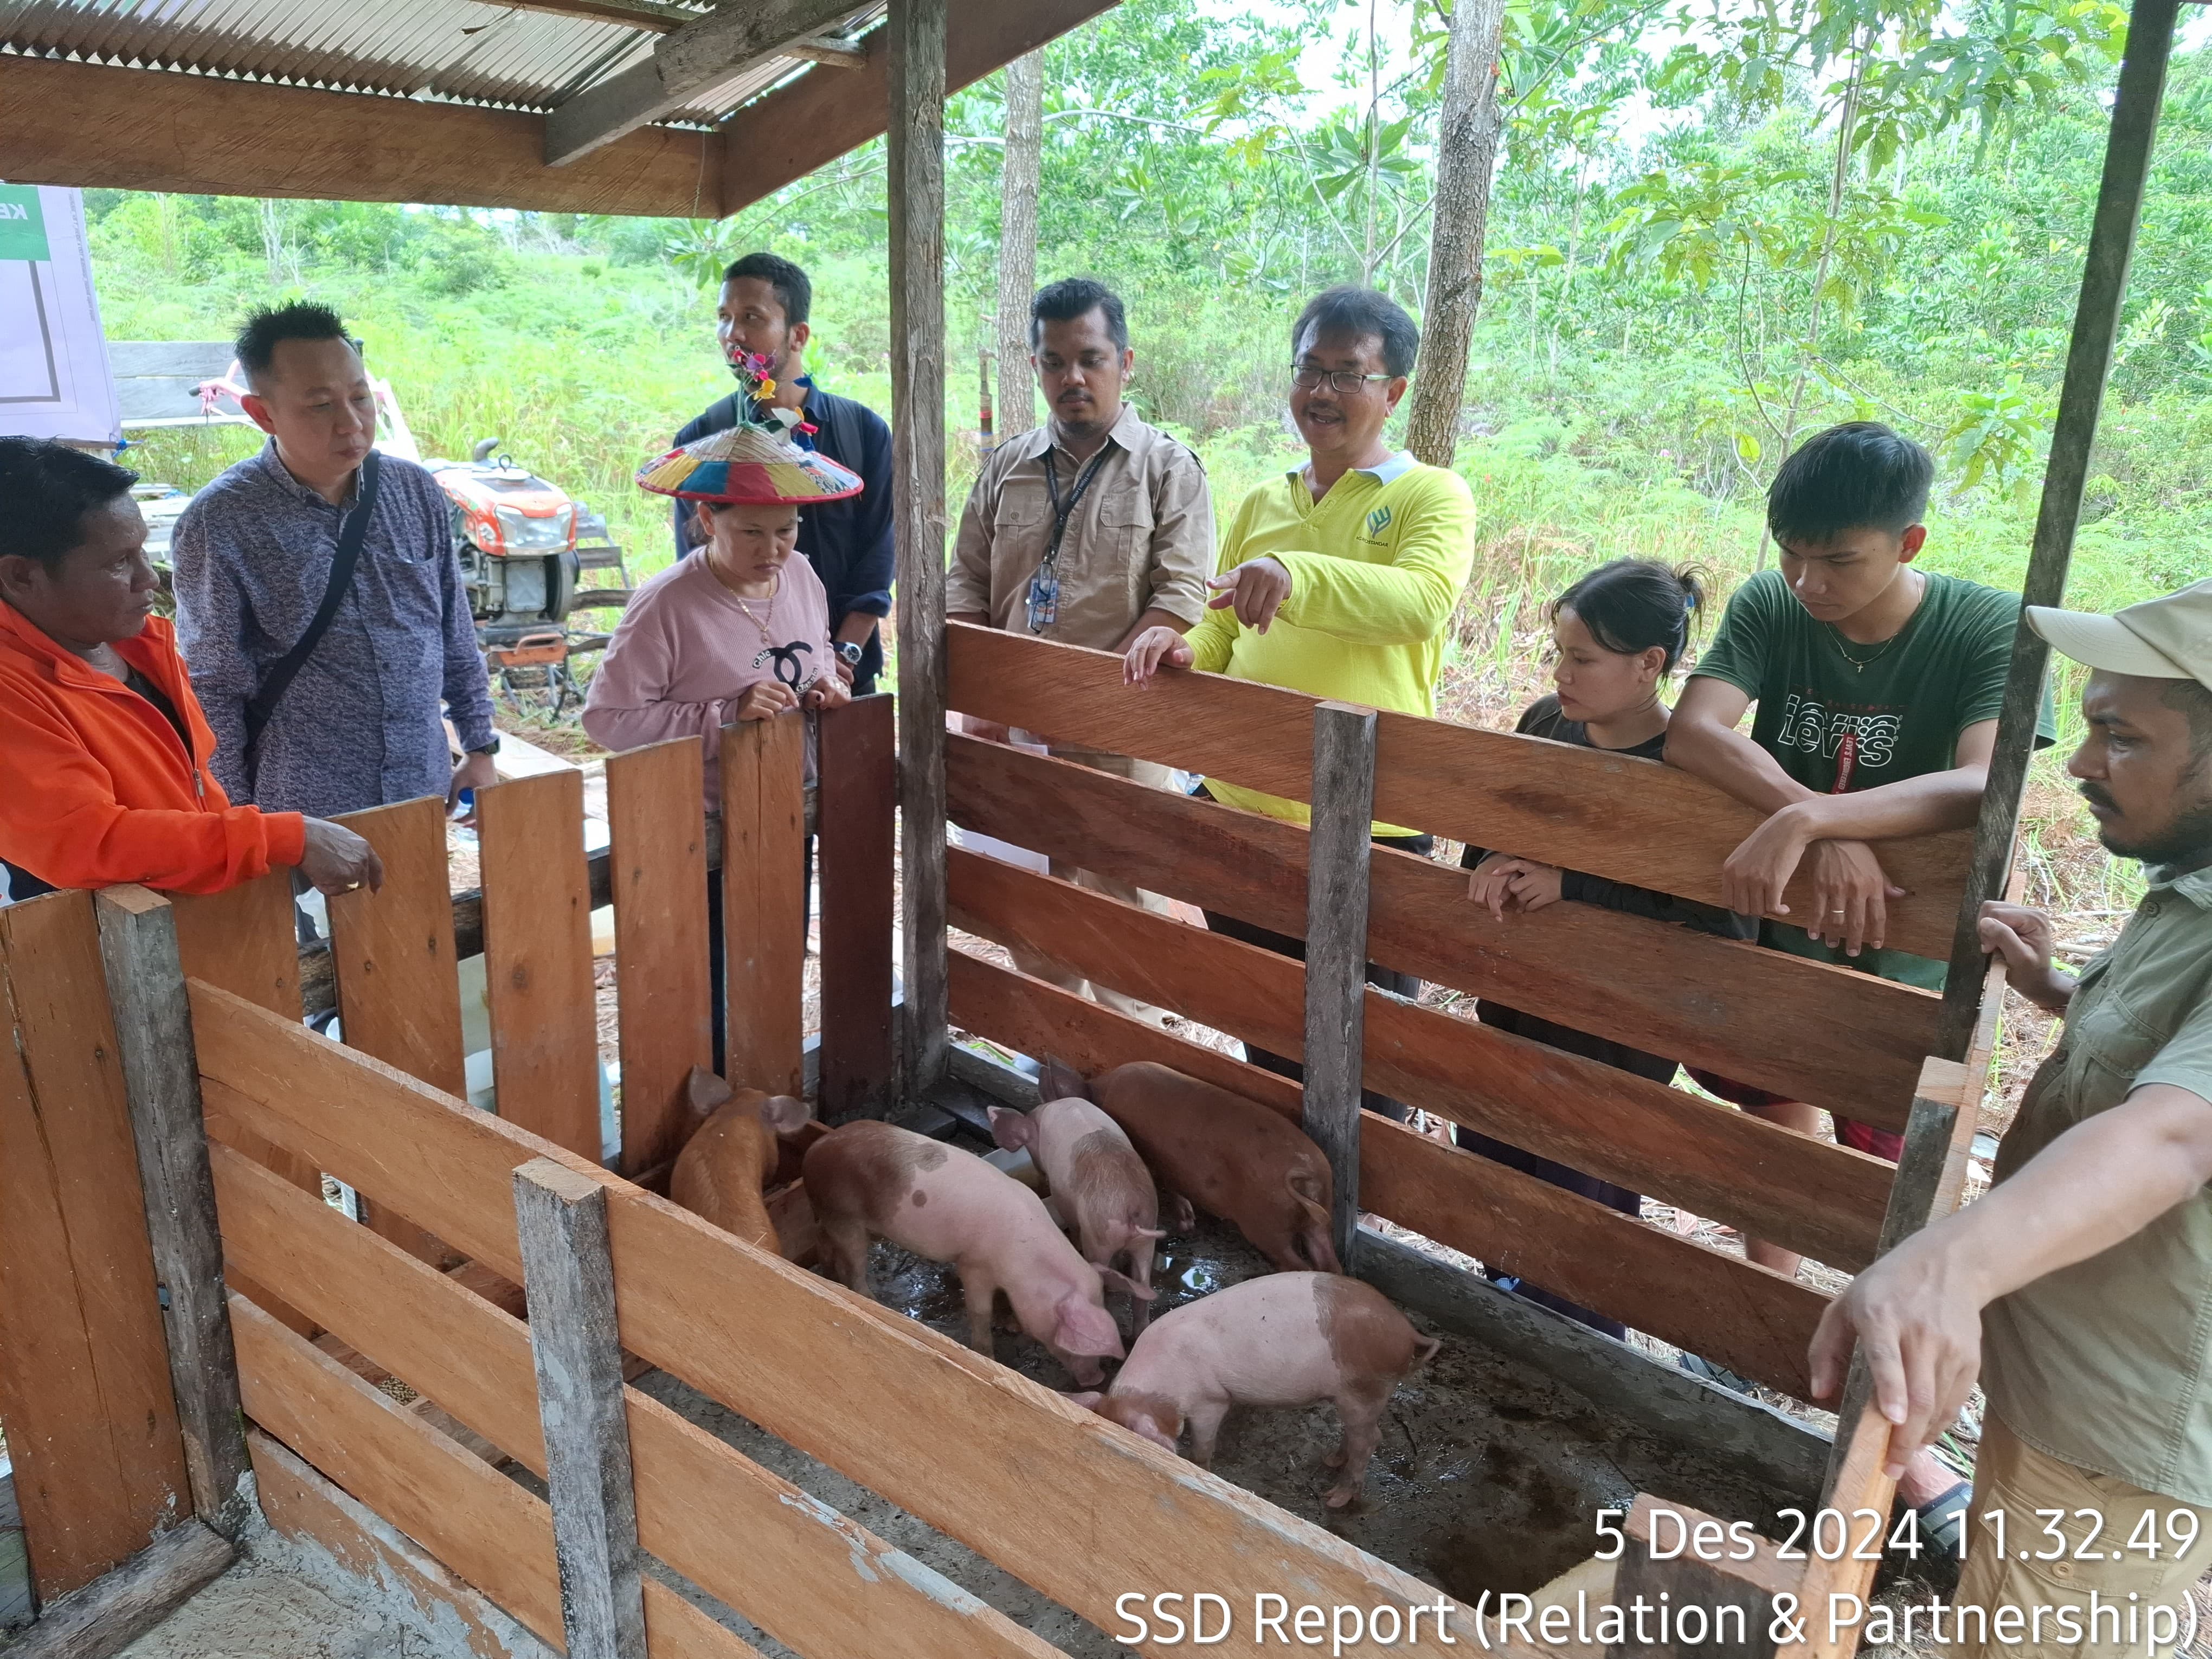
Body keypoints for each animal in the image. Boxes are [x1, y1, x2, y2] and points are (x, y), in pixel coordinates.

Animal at [800, 1119, 1150, 1389]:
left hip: (836, 1216)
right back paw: (873, 1300)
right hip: (844, 1215)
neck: (1025, 1264)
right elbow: (980, 1311)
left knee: (823, 1239)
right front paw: (990, 1355)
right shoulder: (974, 1266)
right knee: (854, 1265)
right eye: (1075, 1337)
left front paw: (1011, 1325)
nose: (1096, 1379)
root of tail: (815, 1150)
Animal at [991, 1106, 1168, 1336]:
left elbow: (1071, 1224)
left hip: (1097, 1237)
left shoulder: (1063, 1201)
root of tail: (1131, 1207)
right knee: (1142, 1285)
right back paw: (1138, 1330)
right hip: (1146, 1237)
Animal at [1044, 1057, 1336, 1283]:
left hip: (1266, 1225)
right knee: (1330, 1262)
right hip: (1320, 1213)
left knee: (1299, 1264)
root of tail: (1303, 1169)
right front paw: (1189, 1223)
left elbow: (1171, 1187)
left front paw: (1186, 1224)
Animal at [1066, 1283, 1433, 1513]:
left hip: (1364, 1390)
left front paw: (1200, 1468)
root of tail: (1406, 1333)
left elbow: (1203, 1447)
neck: (1159, 1390)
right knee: (1363, 1436)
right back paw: (1330, 1460)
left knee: (1370, 1440)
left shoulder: (1211, 1401)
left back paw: (1334, 1500)